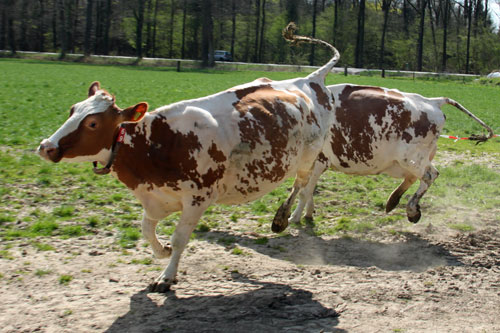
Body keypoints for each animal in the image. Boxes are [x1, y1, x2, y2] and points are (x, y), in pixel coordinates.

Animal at [36, 26, 340, 292]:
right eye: (72, 110)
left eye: (93, 124)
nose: (46, 147)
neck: (156, 142)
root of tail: (308, 80)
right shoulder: (155, 199)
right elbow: (147, 231)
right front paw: (162, 252)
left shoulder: (198, 199)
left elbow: (180, 238)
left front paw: (166, 277)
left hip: (307, 158)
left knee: (301, 185)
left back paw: (281, 218)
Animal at [280, 83, 494, 228]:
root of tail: (433, 102)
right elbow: (307, 191)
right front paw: (307, 214)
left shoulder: (317, 162)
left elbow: (304, 191)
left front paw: (295, 217)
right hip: (418, 158)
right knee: (421, 176)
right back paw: (394, 201)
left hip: (411, 158)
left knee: (428, 176)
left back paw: (411, 209)